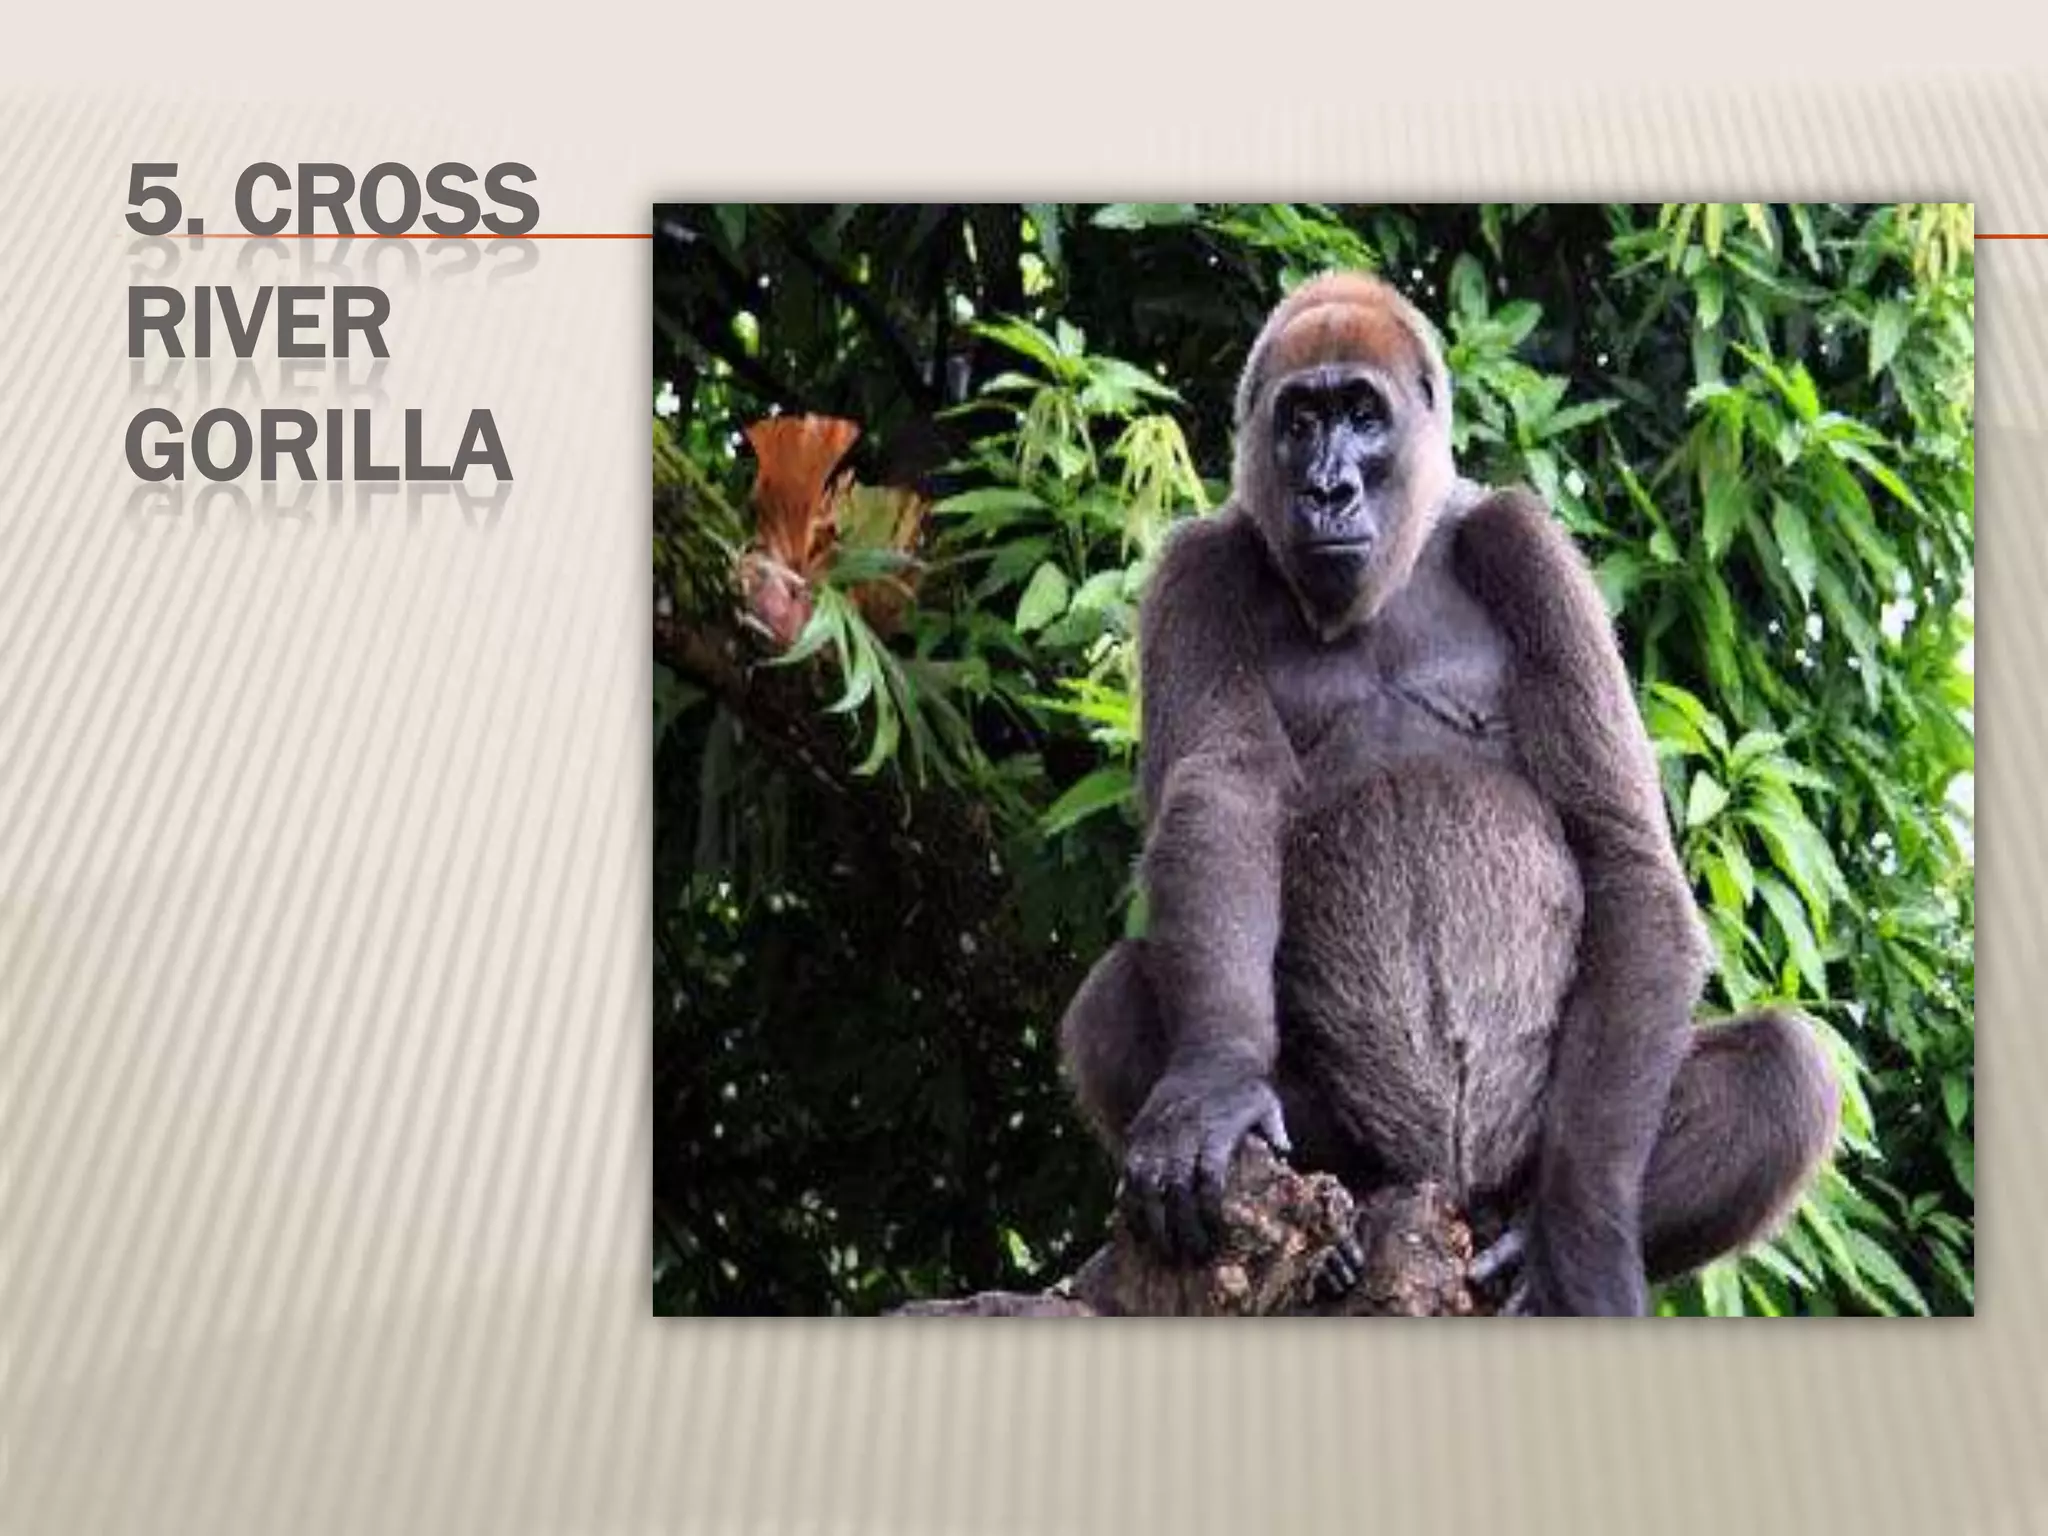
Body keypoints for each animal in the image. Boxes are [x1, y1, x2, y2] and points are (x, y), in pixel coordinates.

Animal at [1057, 272, 1840, 1316]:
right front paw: (1216, 1081)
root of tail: (1450, 1193)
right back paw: (1344, 1240)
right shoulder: (1196, 565)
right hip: (1370, 1165)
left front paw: (1583, 1249)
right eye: (1300, 420)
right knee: (1113, 1004)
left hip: (1520, 1163)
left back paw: (1524, 1249)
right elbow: (1218, 799)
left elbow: (1620, 845)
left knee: (1782, 1074)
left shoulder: (1525, 543)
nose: (1329, 488)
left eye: (1362, 415)